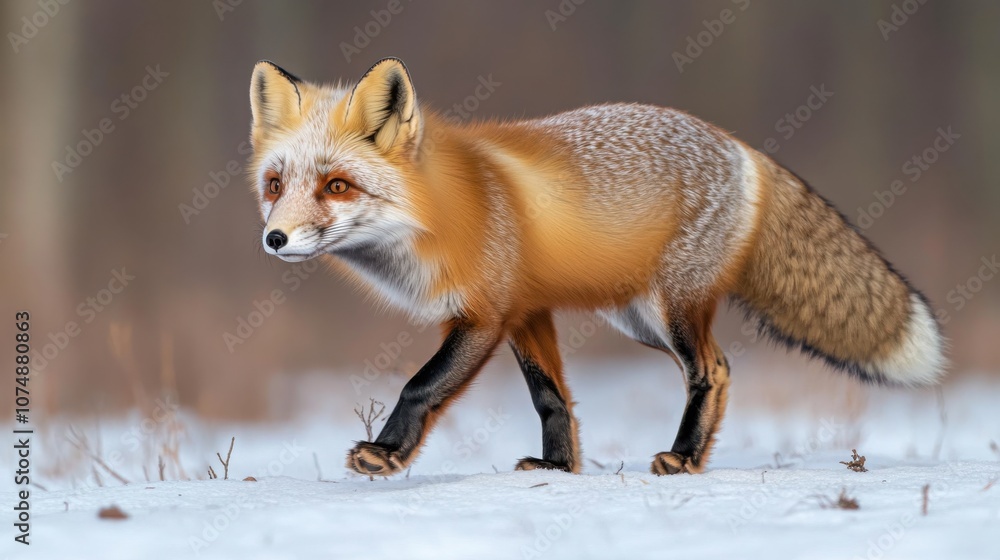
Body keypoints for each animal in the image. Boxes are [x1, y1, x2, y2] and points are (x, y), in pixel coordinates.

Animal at [248, 57, 946, 476]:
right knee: (717, 367)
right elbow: (550, 398)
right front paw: (560, 469)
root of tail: (739, 145)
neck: (442, 213)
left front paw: (386, 452)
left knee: (711, 370)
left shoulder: (485, 313)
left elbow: (421, 385)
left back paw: (683, 459)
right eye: (276, 184)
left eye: (337, 186)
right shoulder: (526, 312)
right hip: (638, 320)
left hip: (671, 310)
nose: (275, 238)